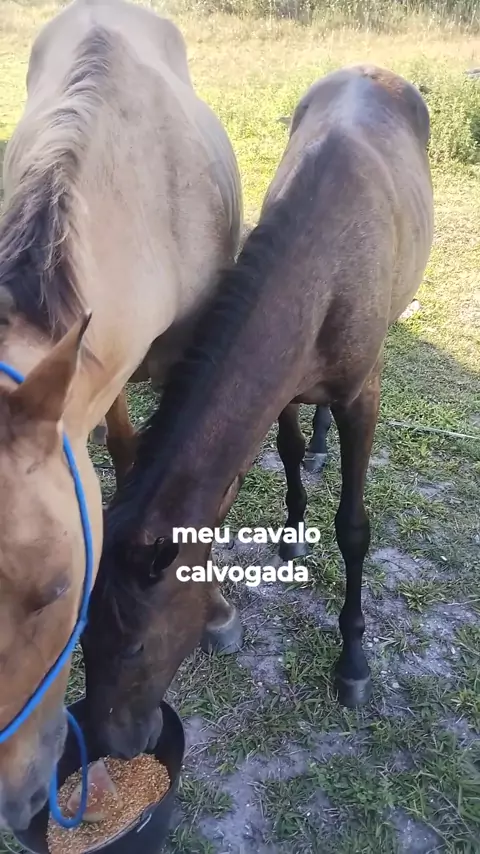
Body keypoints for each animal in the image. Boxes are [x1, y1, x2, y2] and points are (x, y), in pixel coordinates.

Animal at [82, 64, 434, 759]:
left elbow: (354, 528)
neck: (323, 267)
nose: (114, 742)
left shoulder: (363, 395)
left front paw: (353, 662)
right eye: (82, 640)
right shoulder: (285, 386)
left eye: (134, 646)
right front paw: (294, 532)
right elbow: (289, 449)